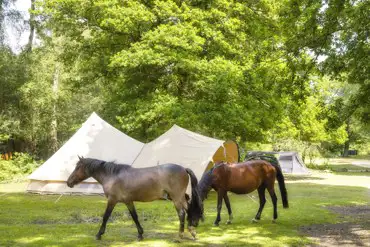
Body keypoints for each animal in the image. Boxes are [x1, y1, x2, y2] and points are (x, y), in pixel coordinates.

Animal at [68, 157, 204, 240]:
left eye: (77, 167)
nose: (69, 182)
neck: (112, 176)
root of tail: (184, 169)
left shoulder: (112, 200)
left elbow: (105, 217)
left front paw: (99, 234)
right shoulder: (128, 201)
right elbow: (134, 216)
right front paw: (140, 234)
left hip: (176, 198)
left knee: (181, 213)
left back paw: (180, 235)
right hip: (180, 198)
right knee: (189, 210)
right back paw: (192, 232)